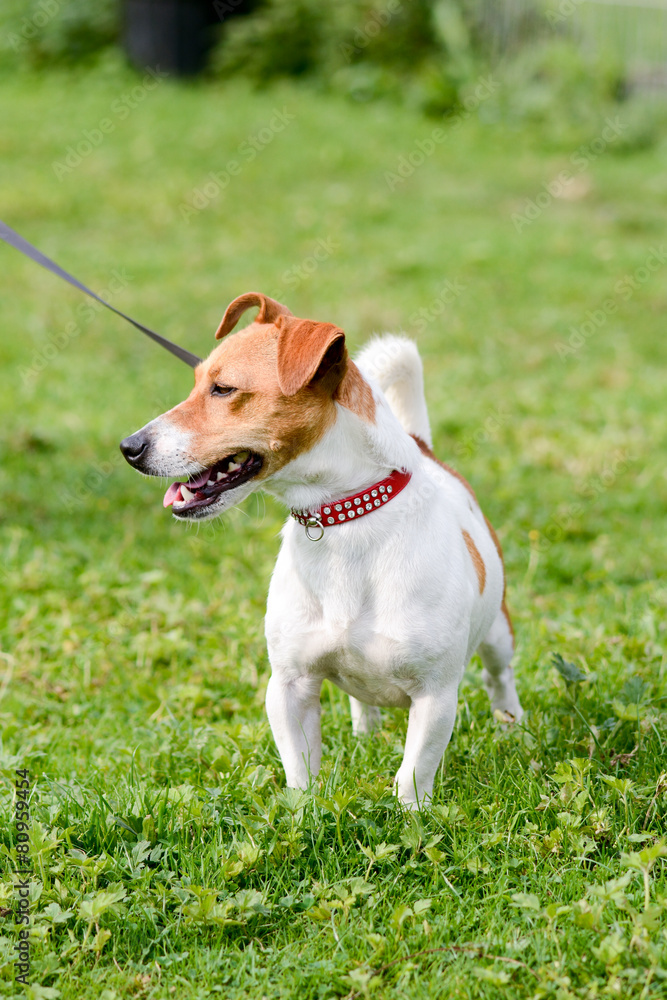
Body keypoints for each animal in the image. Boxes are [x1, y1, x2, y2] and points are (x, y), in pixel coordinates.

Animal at [121, 292, 528, 804]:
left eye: (223, 389)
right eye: (197, 384)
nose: (129, 447)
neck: (343, 520)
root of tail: (424, 447)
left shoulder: (435, 696)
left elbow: (413, 774)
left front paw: (411, 816)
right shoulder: (289, 686)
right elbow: (300, 769)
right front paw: (302, 811)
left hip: (498, 632)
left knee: (500, 676)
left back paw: (513, 727)